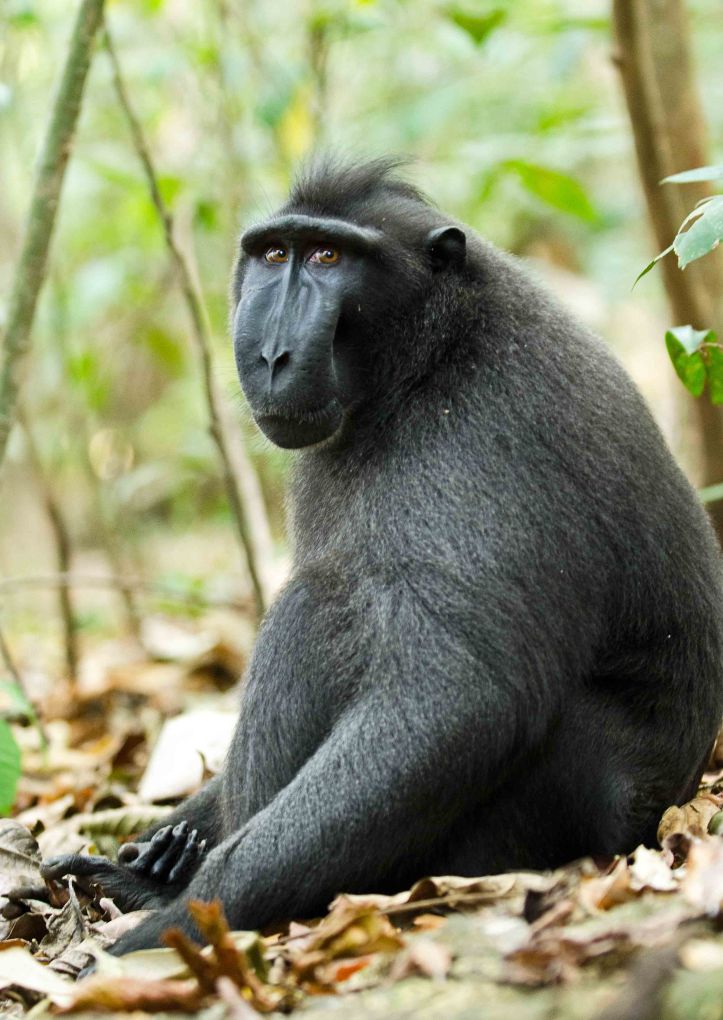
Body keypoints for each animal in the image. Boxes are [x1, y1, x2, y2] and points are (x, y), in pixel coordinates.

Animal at [42, 157, 723, 957]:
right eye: (274, 254)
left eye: (328, 257)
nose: (270, 354)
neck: (429, 357)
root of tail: (656, 810)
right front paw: (160, 856)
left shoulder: (480, 437)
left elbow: (460, 700)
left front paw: (173, 924)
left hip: (535, 818)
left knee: (318, 604)